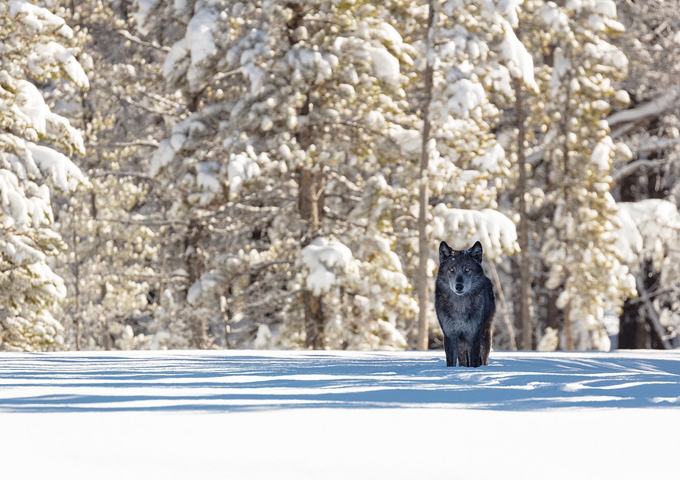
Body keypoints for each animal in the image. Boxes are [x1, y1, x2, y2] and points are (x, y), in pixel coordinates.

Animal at [436, 240, 494, 368]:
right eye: (451, 269)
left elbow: (474, 361)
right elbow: (451, 362)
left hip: (485, 336)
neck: (460, 306)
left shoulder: (473, 336)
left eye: (467, 270)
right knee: (462, 360)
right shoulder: (450, 336)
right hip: (461, 344)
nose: (459, 286)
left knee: (484, 358)